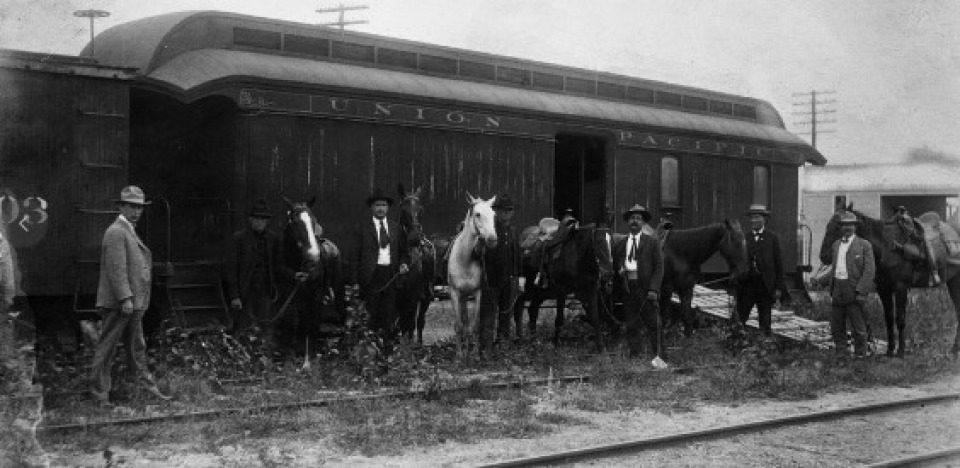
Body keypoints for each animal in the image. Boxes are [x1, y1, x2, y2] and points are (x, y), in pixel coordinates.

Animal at [394, 186, 436, 344]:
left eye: (421, 209)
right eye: (403, 209)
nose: (415, 237)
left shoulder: (412, 295)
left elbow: (410, 323)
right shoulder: (398, 296)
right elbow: (401, 323)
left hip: (425, 298)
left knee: (419, 321)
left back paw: (418, 343)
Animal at [446, 194, 498, 358]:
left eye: (493, 214)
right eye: (478, 214)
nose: (492, 240)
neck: (465, 260)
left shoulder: (477, 293)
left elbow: (474, 325)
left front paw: (475, 353)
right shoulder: (454, 293)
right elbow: (458, 325)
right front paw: (459, 354)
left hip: (466, 296)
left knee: (467, 323)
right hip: (461, 297)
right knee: (462, 322)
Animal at [816, 207, 960, 356]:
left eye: (838, 227)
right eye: (828, 226)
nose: (824, 256)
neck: (886, 248)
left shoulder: (901, 288)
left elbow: (900, 319)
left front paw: (901, 351)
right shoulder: (883, 289)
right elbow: (889, 318)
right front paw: (890, 350)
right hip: (953, 282)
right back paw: (954, 349)